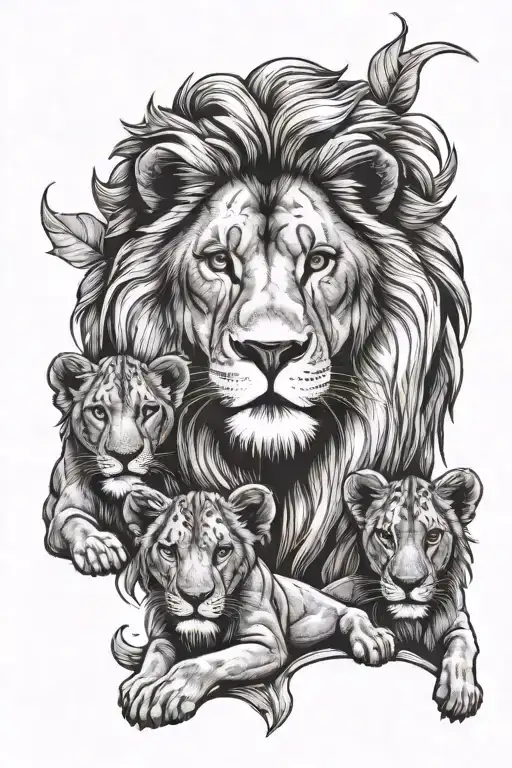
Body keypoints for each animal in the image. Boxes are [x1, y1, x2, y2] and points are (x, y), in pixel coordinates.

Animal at [43, 352, 189, 575]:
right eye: (99, 412)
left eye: (148, 410)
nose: (125, 455)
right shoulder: (64, 507)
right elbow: (72, 518)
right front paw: (99, 547)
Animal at [111, 485, 395, 729]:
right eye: (169, 551)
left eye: (222, 551)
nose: (195, 597)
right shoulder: (163, 636)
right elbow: (155, 656)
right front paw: (141, 685)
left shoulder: (268, 643)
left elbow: (204, 661)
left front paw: (169, 692)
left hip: (314, 620)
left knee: (350, 611)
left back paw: (372, 639)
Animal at [323, 468, 483, 722]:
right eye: (385, 535)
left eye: (433, 535)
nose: (407, 583)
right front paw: (372, 638)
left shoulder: (458, 619)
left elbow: (463, 643)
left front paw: (460, 692)